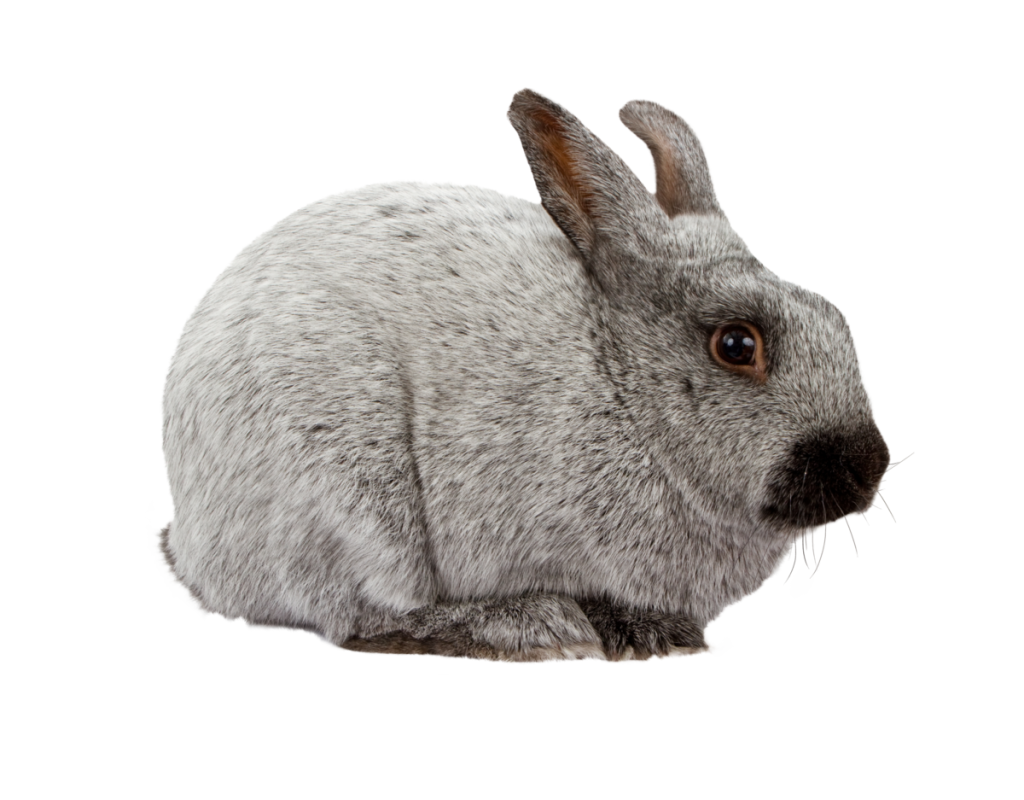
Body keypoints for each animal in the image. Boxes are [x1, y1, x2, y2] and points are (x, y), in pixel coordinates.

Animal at [154, 87, 892, 665]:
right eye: (737, 344)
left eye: (836, 316)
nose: (867, 469)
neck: (622, 383)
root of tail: (187, 538)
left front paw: (660, 632)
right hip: (352, 504)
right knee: (366, 616)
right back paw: (527, 627)